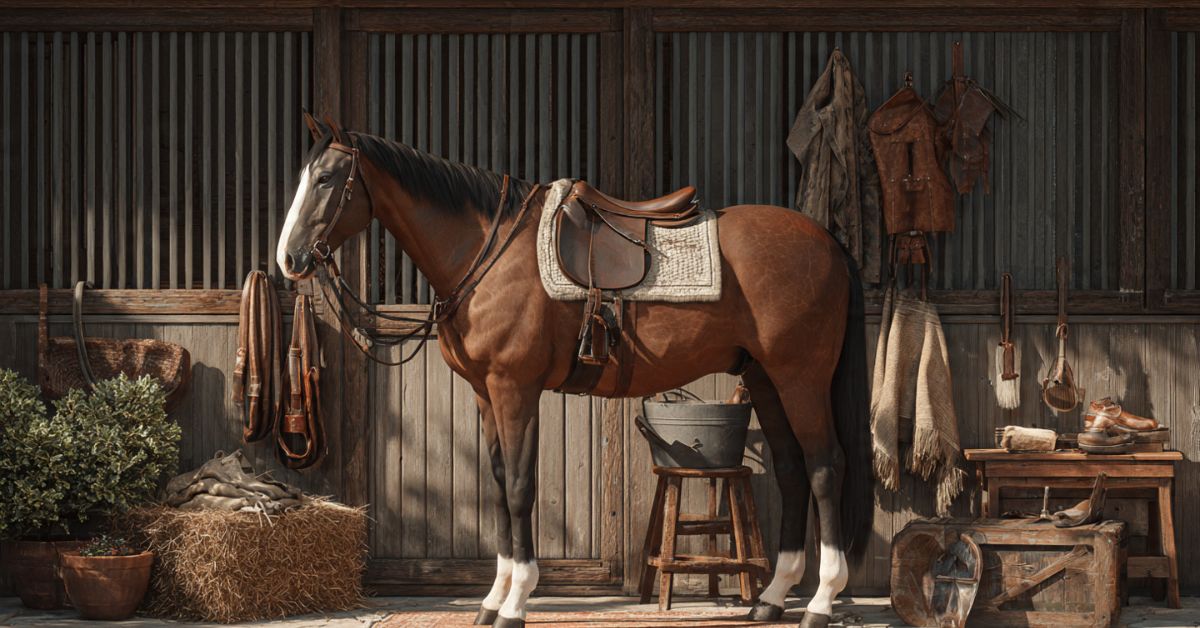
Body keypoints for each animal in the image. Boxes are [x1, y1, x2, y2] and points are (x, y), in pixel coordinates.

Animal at [277, 113, 872, 628]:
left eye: (326, 178)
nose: (288, 260)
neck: (487, 252)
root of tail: (827, 243)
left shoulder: (515, 389)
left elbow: (520, 487)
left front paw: (516, 602)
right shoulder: (485, 394)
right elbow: (499, 485)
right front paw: (492, 600)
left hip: (801, 378)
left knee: (825, 467)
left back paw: (821, 602)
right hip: (767, 379)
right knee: (793, 471)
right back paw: (771, 599)